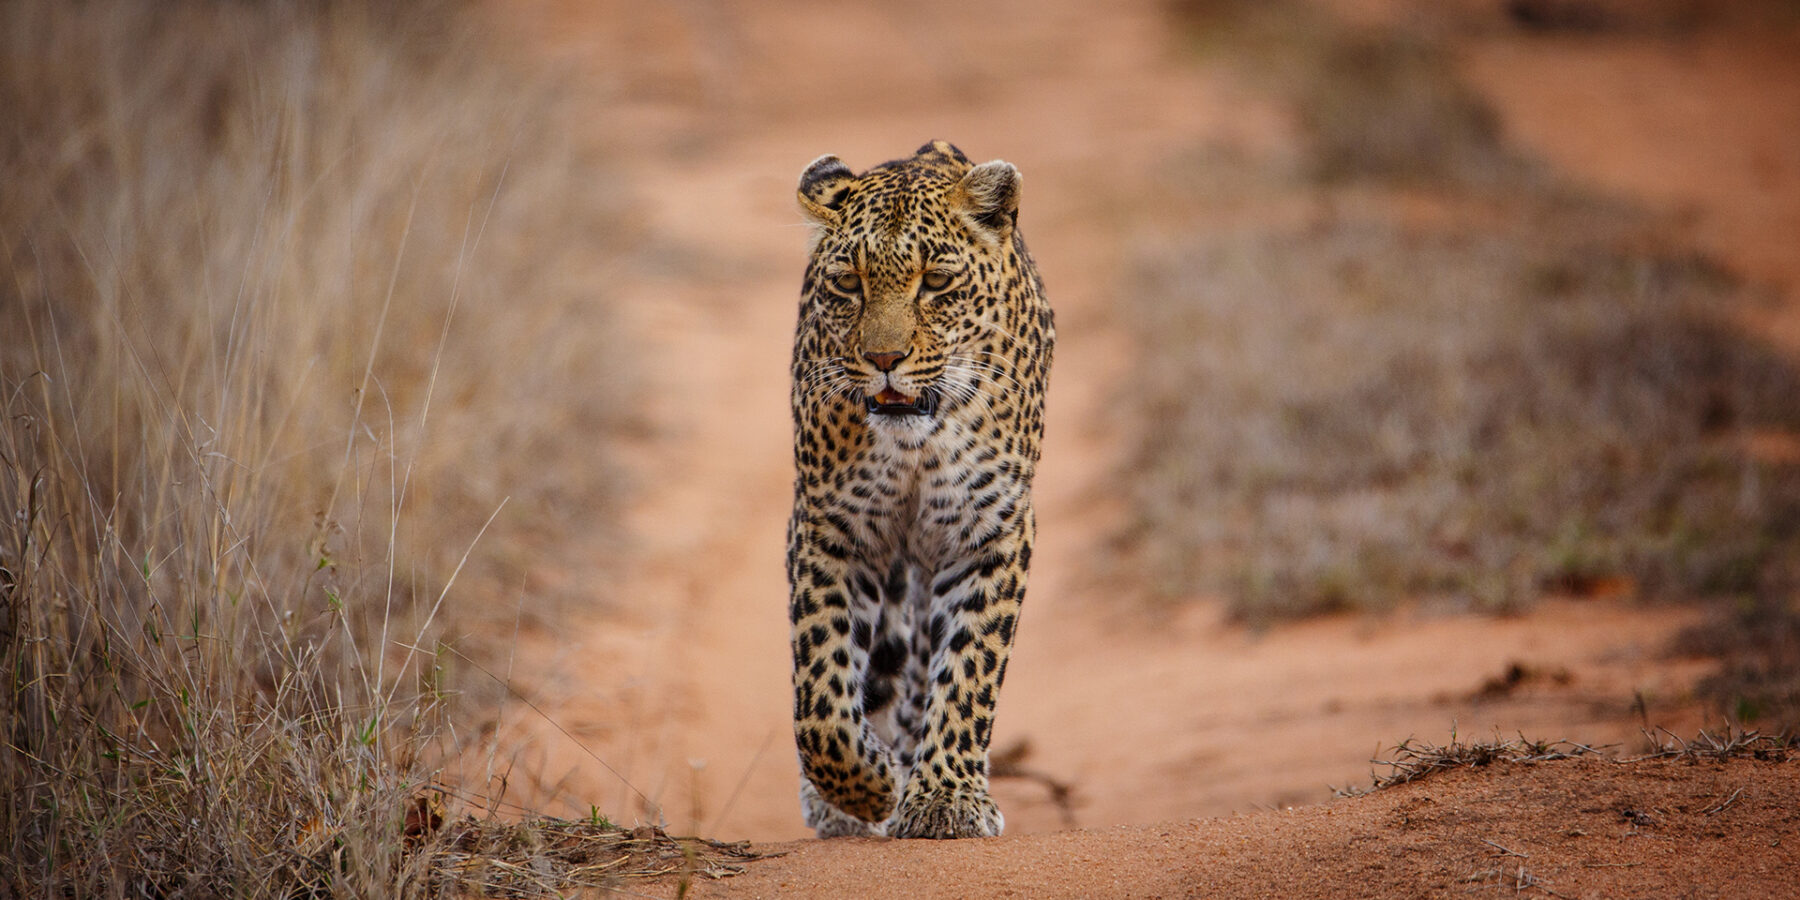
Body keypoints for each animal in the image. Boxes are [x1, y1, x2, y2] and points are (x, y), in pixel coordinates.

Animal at [786, 140, 1055, 840]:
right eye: (848, 283)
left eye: (935, 282)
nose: (885, 360)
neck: (914, 441)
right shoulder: (832, 528)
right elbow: (820, 698)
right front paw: (868, 788)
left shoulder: (989, 528)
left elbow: (968, 671)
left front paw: (944, 799)